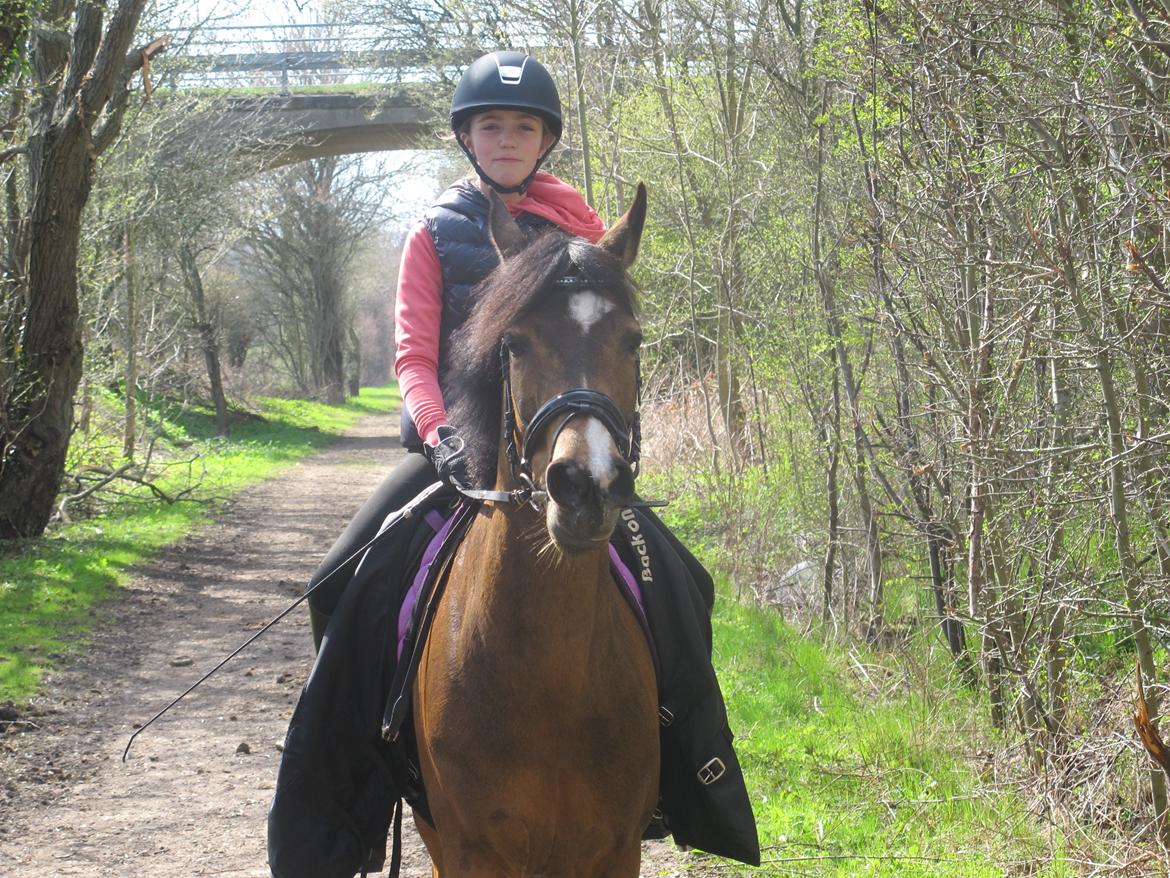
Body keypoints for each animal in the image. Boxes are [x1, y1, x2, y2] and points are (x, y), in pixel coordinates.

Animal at [412, 184, 659, 877]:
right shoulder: (471, 850)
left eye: (632, 341)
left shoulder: (616, 849)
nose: (587, 485)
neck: (551, 682)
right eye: (515, 344)